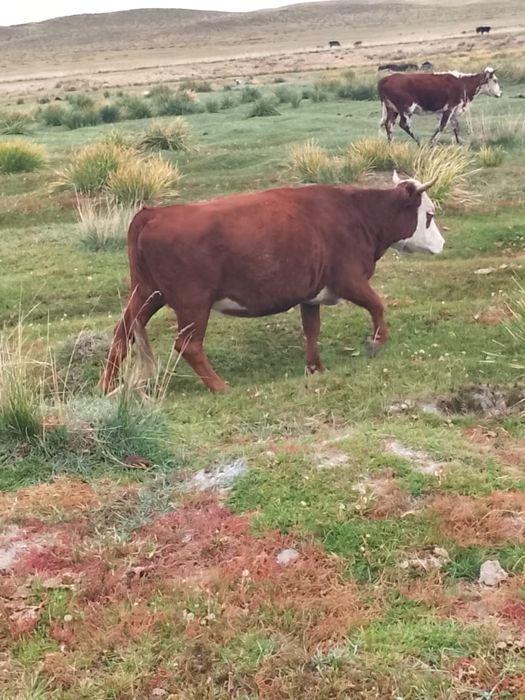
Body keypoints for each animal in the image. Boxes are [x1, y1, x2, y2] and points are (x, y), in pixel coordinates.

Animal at [99, 174, 443, 394]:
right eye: (428, 214)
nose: (442, 244)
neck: (357, 214)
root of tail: (153, 213)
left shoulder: (311, 293)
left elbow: (311, 330)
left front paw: (316, 368)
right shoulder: (349, 279)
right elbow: (377, 305)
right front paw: (376, 341)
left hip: (147, 293)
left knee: (122, 334)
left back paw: (106, 385)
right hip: (192, 302)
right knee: (188, 345)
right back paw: (220, 386)